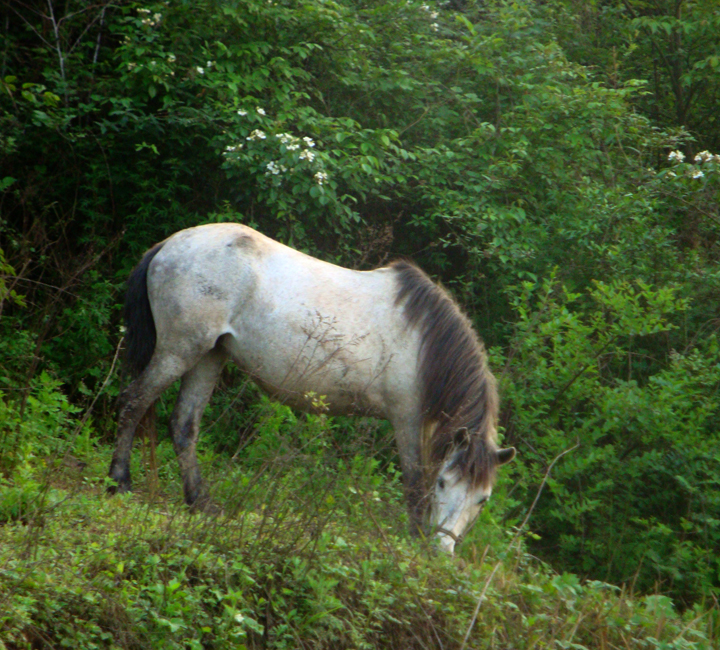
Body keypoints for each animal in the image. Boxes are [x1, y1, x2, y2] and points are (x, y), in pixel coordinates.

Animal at [107, 221, 516, 548]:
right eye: (445, 484)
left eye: (482, 500)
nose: (441, 551)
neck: (422, 340)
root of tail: (169, 245)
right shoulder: (407, 419)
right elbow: (416, 482)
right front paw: (412, 543)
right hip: (179, 349)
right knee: (133, 402)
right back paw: (119, 482)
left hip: (209, 356)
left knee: (184, 426)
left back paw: (200, 503)